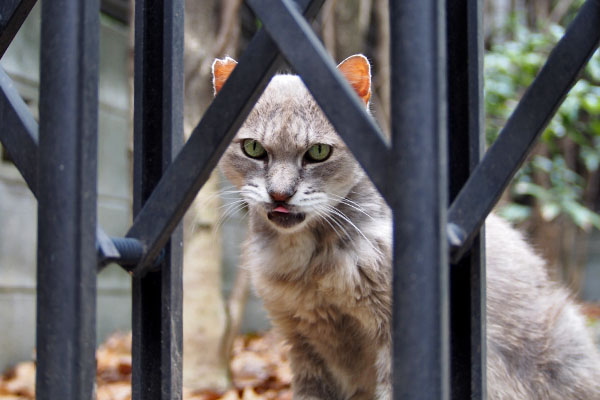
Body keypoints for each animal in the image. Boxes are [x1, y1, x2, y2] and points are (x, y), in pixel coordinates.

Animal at [213, 54, 596, 398]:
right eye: (253, 148)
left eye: (319, 152)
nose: (280, 195)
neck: (310, 266)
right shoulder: (304, 346)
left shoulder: (394, 342)